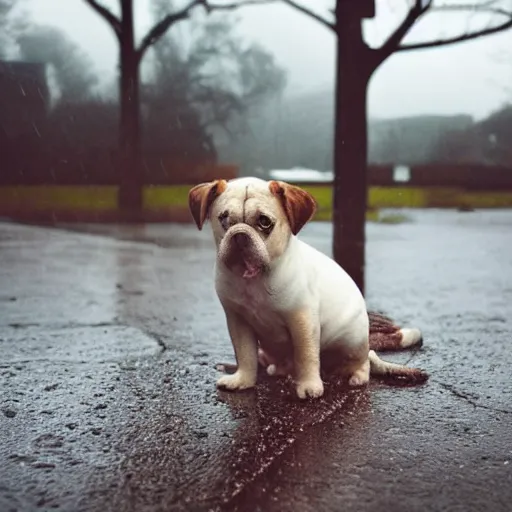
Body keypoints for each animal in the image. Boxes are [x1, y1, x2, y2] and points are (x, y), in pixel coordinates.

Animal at [189, 177, 428, 400]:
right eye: (223, 219)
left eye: (264, 222)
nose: (239, 234)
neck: (254, 279)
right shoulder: (238, 321)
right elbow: (245, 354)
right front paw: (244, 380)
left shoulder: (302, 320)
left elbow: (306, 356)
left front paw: (309, 386)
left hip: (352, 341)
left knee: (364, 360)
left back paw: (356, 375)